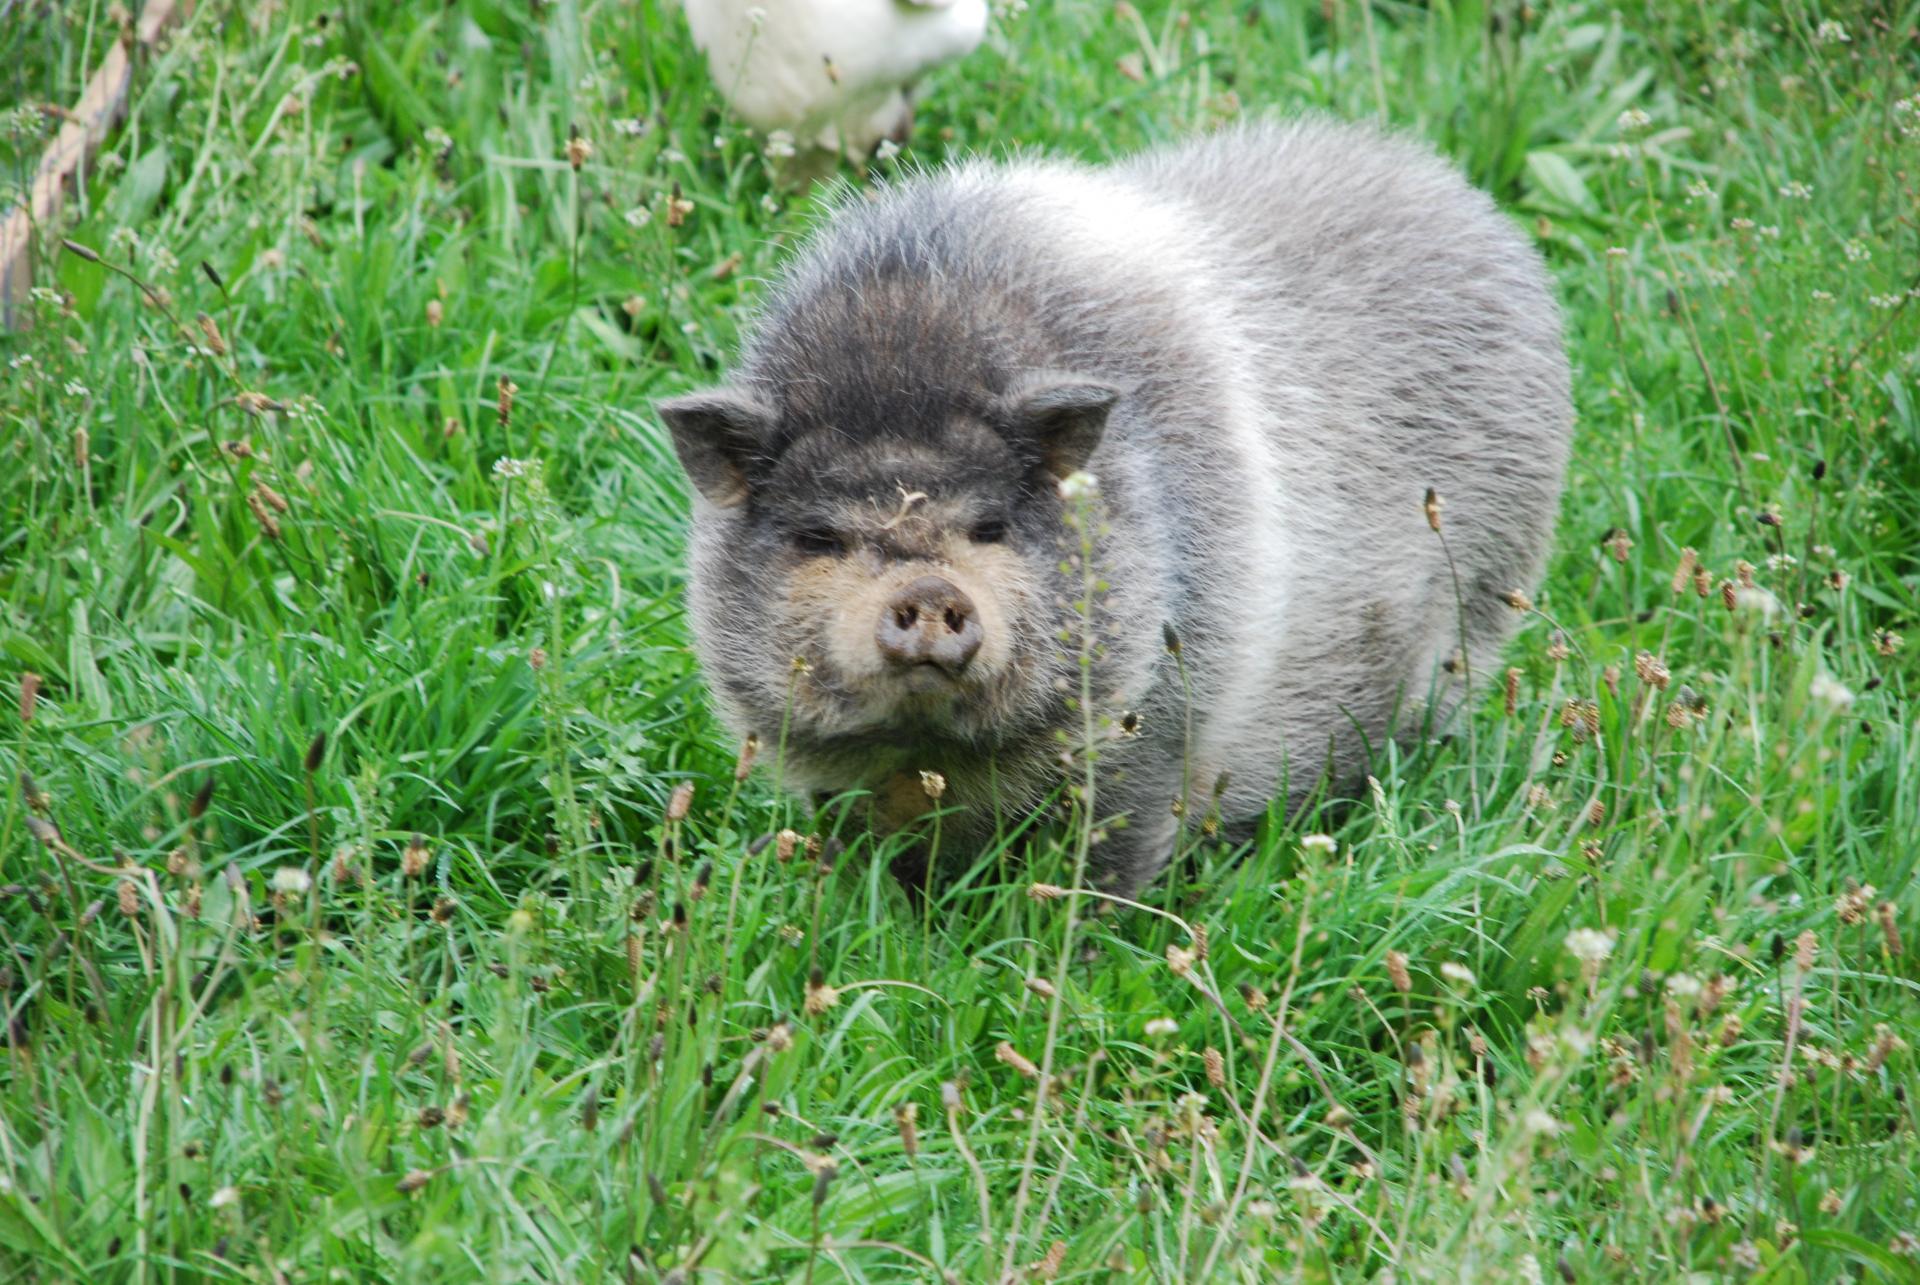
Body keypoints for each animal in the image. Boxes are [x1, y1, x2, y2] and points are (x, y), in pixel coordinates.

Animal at [660, 124, 1574, 898]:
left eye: (991, 525)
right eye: (818, 534)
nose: (929, 590)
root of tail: (1468, 201)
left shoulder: (1163, 717)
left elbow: (1112, 856)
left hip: (1477, 608)